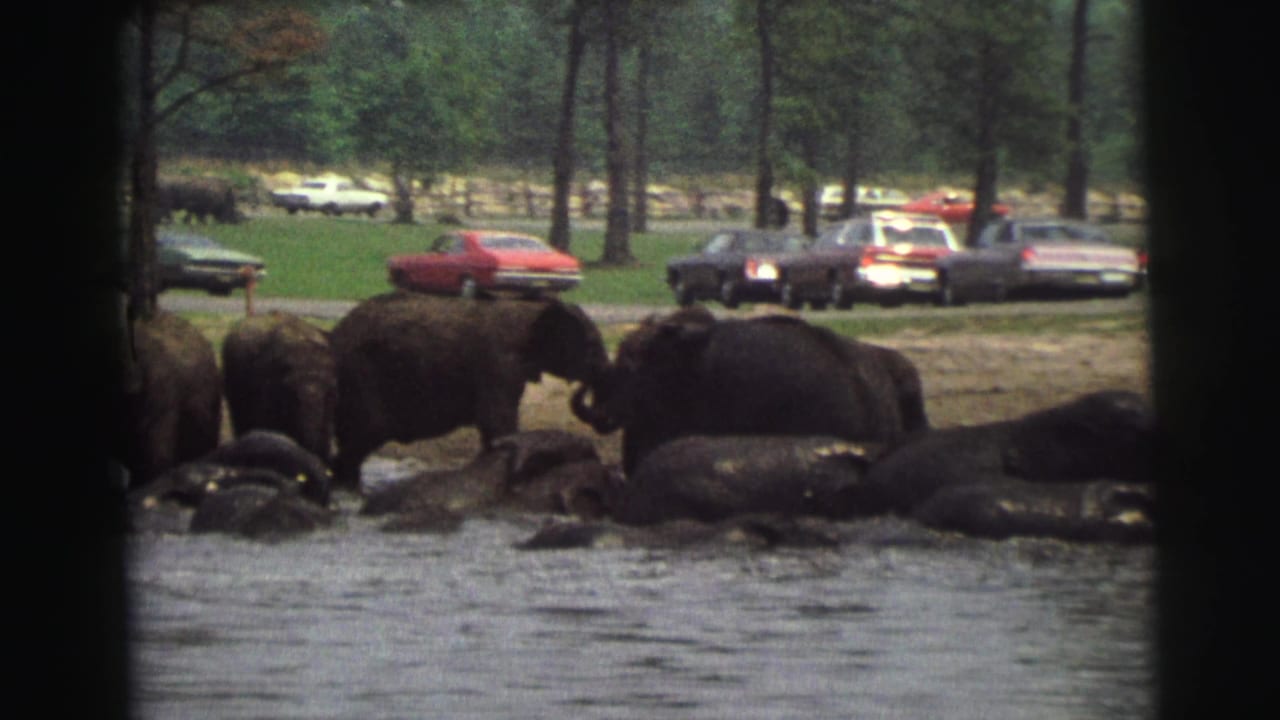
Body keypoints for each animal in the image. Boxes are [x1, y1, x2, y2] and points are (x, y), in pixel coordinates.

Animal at [329, 292, 610, 489]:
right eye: (592, 345)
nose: (585, 386)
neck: (527, 308)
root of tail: (334, 335)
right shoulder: (497, 363)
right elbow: (497, 424)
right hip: (360, 376)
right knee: (361, 439)